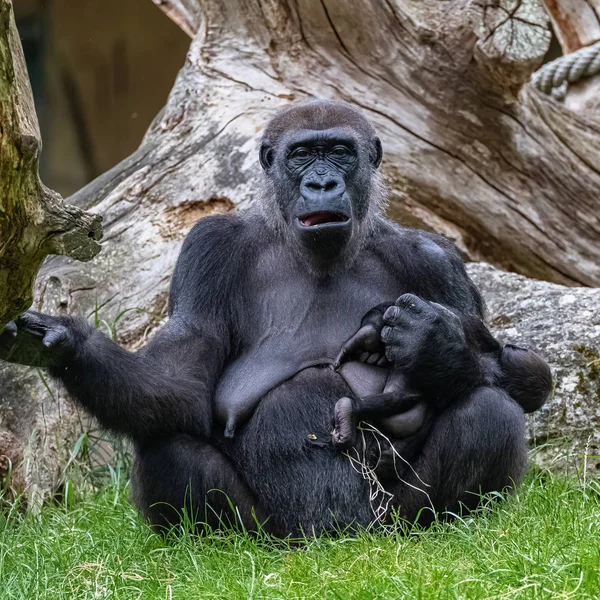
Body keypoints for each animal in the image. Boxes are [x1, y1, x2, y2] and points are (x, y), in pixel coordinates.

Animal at [0, 101, 552, 536]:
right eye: (302, 154)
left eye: (341, 152)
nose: (322, 182)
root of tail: (335, 541)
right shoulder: (209, 246)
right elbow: (180, 381)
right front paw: (67, 344)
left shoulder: (436, 259)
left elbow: (525, 373)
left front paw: (436, 346)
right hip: (269, 534)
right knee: (166, 442)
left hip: (390, 524)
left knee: (490, 412)